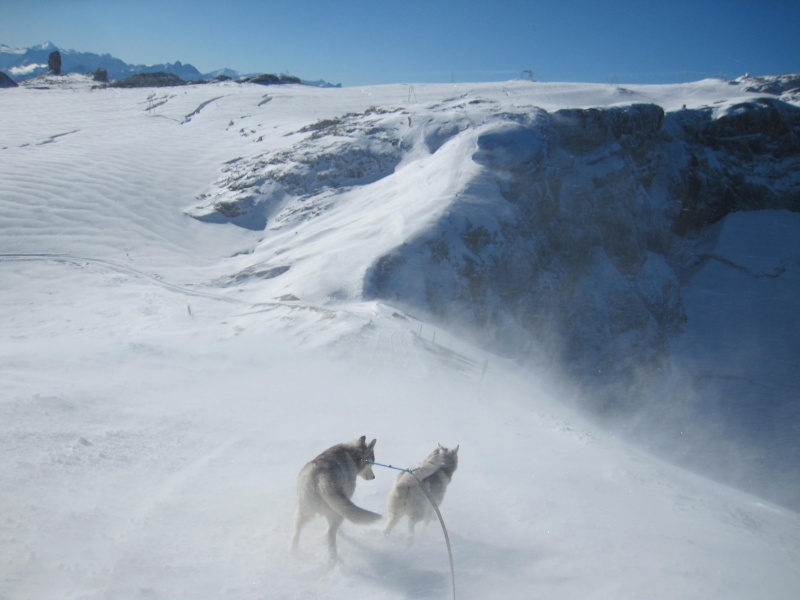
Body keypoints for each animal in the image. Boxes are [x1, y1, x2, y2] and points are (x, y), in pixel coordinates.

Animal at [290, 436, 382, 564]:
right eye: (372, 463)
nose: (373, 477)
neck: (352, 453)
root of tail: (320, 477)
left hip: (304, 510)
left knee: (296, 531)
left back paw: (292, 551)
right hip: (336, 511)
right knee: (329, 533)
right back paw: (334, 560)